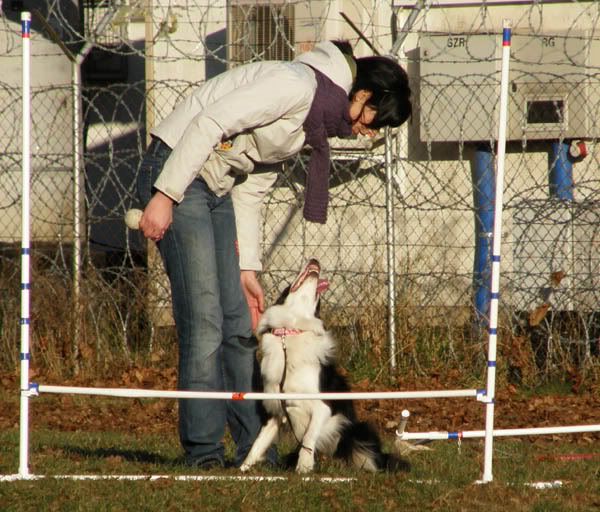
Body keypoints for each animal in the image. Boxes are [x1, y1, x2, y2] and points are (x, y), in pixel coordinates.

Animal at [240, 258, 409, 474]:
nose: (315, 260)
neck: (291, 331)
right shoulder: (276, 411)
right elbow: (258, 442)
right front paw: (243, 468)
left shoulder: (322, 406)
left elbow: (309, 436)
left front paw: (304, 465)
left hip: (358, 430)